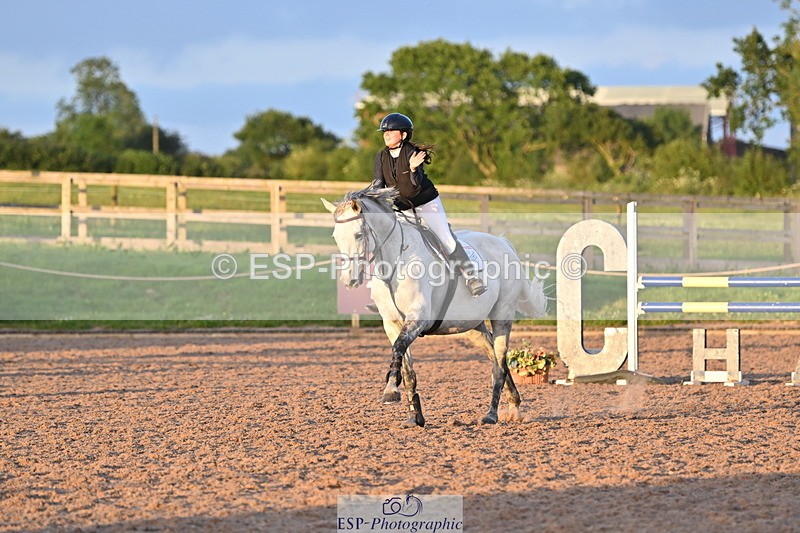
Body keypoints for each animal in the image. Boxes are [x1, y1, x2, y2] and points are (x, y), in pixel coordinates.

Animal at [322, 187, 547, 427]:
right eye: (336, 237)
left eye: (358, 235)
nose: (349, 280)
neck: (394, 261)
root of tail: (504, 244)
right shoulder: (392, 324)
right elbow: (407, 368)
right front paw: (415, 416)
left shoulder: (418, 318)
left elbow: (398, 349)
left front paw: (391, 390)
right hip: (472, 325)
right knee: (496, 358)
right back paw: (514, 404)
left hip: (502, 316)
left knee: (499, 365)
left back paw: (491, 415)